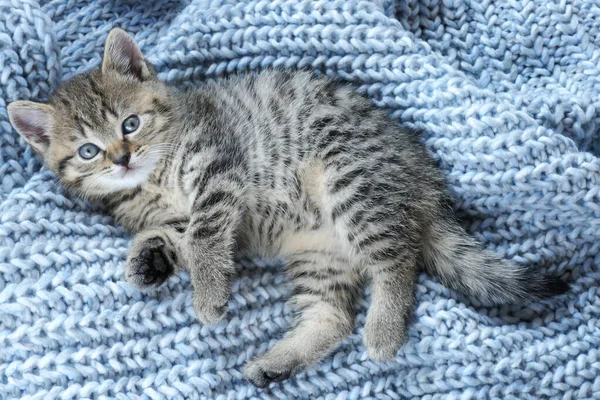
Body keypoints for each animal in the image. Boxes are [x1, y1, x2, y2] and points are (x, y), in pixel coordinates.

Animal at [8, 28, 568, 388]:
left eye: (130, 124)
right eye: (88, 151)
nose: (122, 158)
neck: (156, 181)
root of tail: (421, 177)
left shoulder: (218, 173)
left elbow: (206, 236)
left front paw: (207, 297)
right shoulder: (194, 219)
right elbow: (180, 238)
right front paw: (148, 260)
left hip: (352, 179)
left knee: (397, 260)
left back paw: (383, 332)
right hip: (320, 253)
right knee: (333, 314)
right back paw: (280, 361)